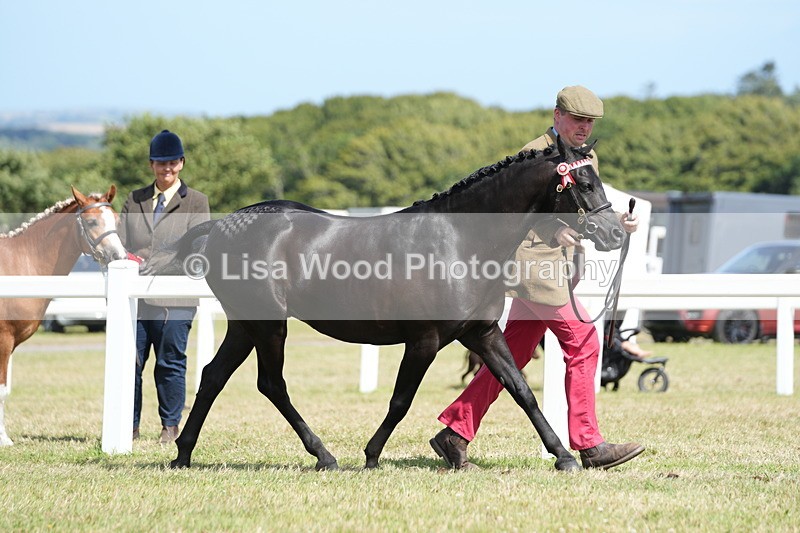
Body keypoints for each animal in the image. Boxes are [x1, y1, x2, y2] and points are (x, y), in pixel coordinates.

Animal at [0, 185, 126, 446]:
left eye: (116, 220)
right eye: (91, 222)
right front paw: (3, 439)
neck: (21, 264)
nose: (118, 256)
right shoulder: (4, 339)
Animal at [169, 136, 625, 471]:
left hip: (246, 324)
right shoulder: (424, 341)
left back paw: (183, 455)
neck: (461, 242)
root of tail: (223, 226)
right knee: (271, 384)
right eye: (585, 184)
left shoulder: (482, 334)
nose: (616, 233)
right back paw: (324, 455)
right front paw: (371, 456)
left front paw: (564, 457)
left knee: (213, 376)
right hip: (269, 326)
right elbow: (401, 400)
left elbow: (520, 390)